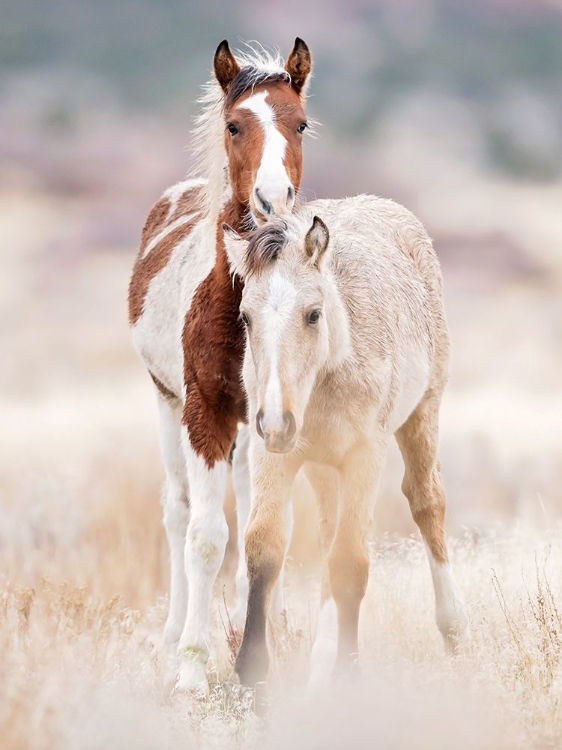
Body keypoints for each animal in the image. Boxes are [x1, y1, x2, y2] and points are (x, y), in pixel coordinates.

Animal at [127, 36, 310, 692]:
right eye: (234, 125)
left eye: (300, 123)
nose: (272, 201)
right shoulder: (202, 412)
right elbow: (205, 538)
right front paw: (191, 670)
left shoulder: (270, 420)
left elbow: (266, 534)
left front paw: (267, 651)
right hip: (166, 406)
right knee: (178, 513)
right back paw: (172, 640)